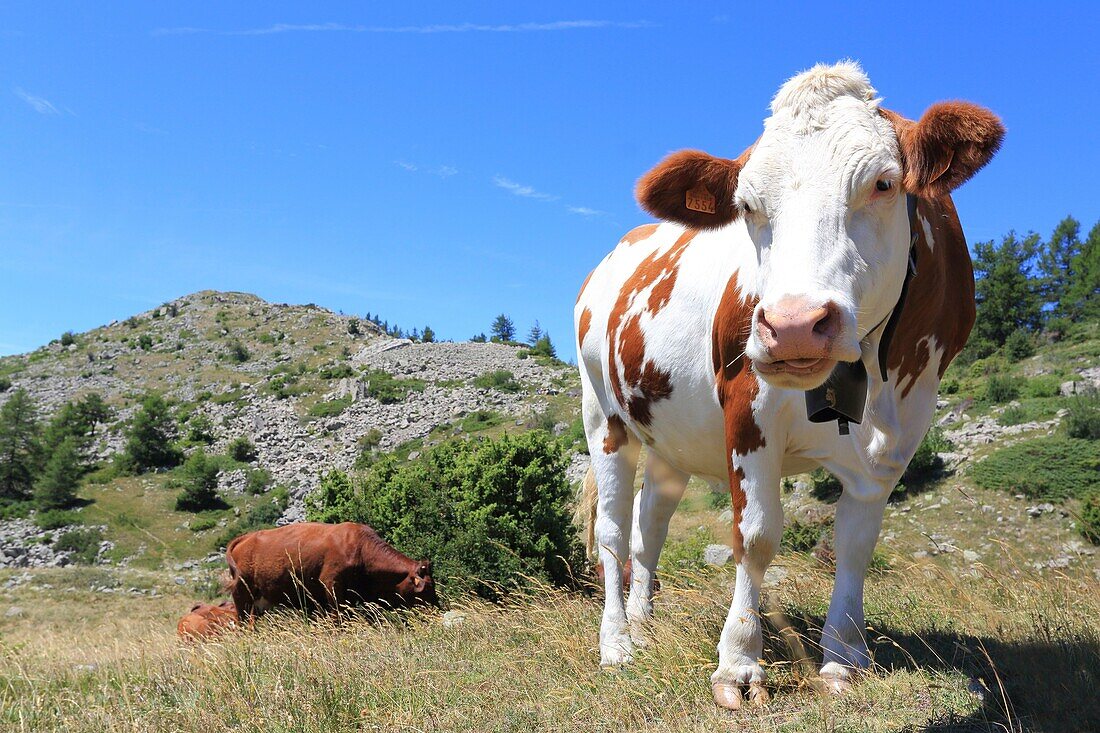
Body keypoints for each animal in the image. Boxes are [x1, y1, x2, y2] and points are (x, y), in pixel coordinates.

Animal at [224, 519, 437, 616]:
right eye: (426, 588)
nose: (437, 607)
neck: (360, 549)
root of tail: (246, 538)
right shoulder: (331, 586)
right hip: (243, 595)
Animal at [580, 64, 1003, 708]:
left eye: (884, 183)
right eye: (747, 204)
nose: (795, 324)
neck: (871, 378)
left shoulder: (906, 423)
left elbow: (855, 543)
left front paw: (844, 657)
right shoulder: (747, 408)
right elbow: (754, 537)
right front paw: (738, 664)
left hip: (670, 438)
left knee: (648, 527)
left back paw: (645, 626)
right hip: (604, 415)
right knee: (610, 530)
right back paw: (617, 644)